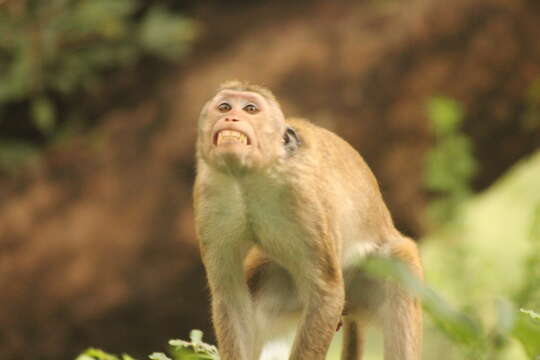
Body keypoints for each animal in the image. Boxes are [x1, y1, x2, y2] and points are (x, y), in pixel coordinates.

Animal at [192, 81, 424, 360]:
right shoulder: (209, 192)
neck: (249, 177)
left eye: (250, 109)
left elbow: (327, 292)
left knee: (400, 256)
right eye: (224, 106)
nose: (231, 117)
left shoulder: (303, 197)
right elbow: (230, 296)